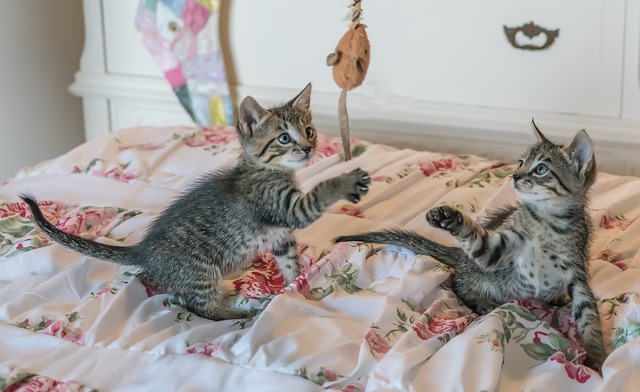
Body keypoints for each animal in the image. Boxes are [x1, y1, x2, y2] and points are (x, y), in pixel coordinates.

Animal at [22, 84, 370, 320]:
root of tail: (145, 250)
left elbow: (290, 264)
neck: (268, 170)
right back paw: (239, 314)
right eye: (284, 138)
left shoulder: (281, 237)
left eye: (309, 131)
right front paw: (346, 180)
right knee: (198, 307)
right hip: (200, 269)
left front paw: (298, 289)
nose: (309, 149)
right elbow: (320, 192)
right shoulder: (284, 208)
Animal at [338, 123, 608, 370]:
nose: (514, 175)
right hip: (477, 274)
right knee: (458, 285)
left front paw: (596, 356)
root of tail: (461, 257)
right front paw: (448, 218)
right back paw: (483, 302)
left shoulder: (576, 272)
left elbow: (588, 314)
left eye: (541, 169)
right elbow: (478, 240)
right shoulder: (498, 250)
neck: (546, 221)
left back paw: (557, 299)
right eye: (521, 162)